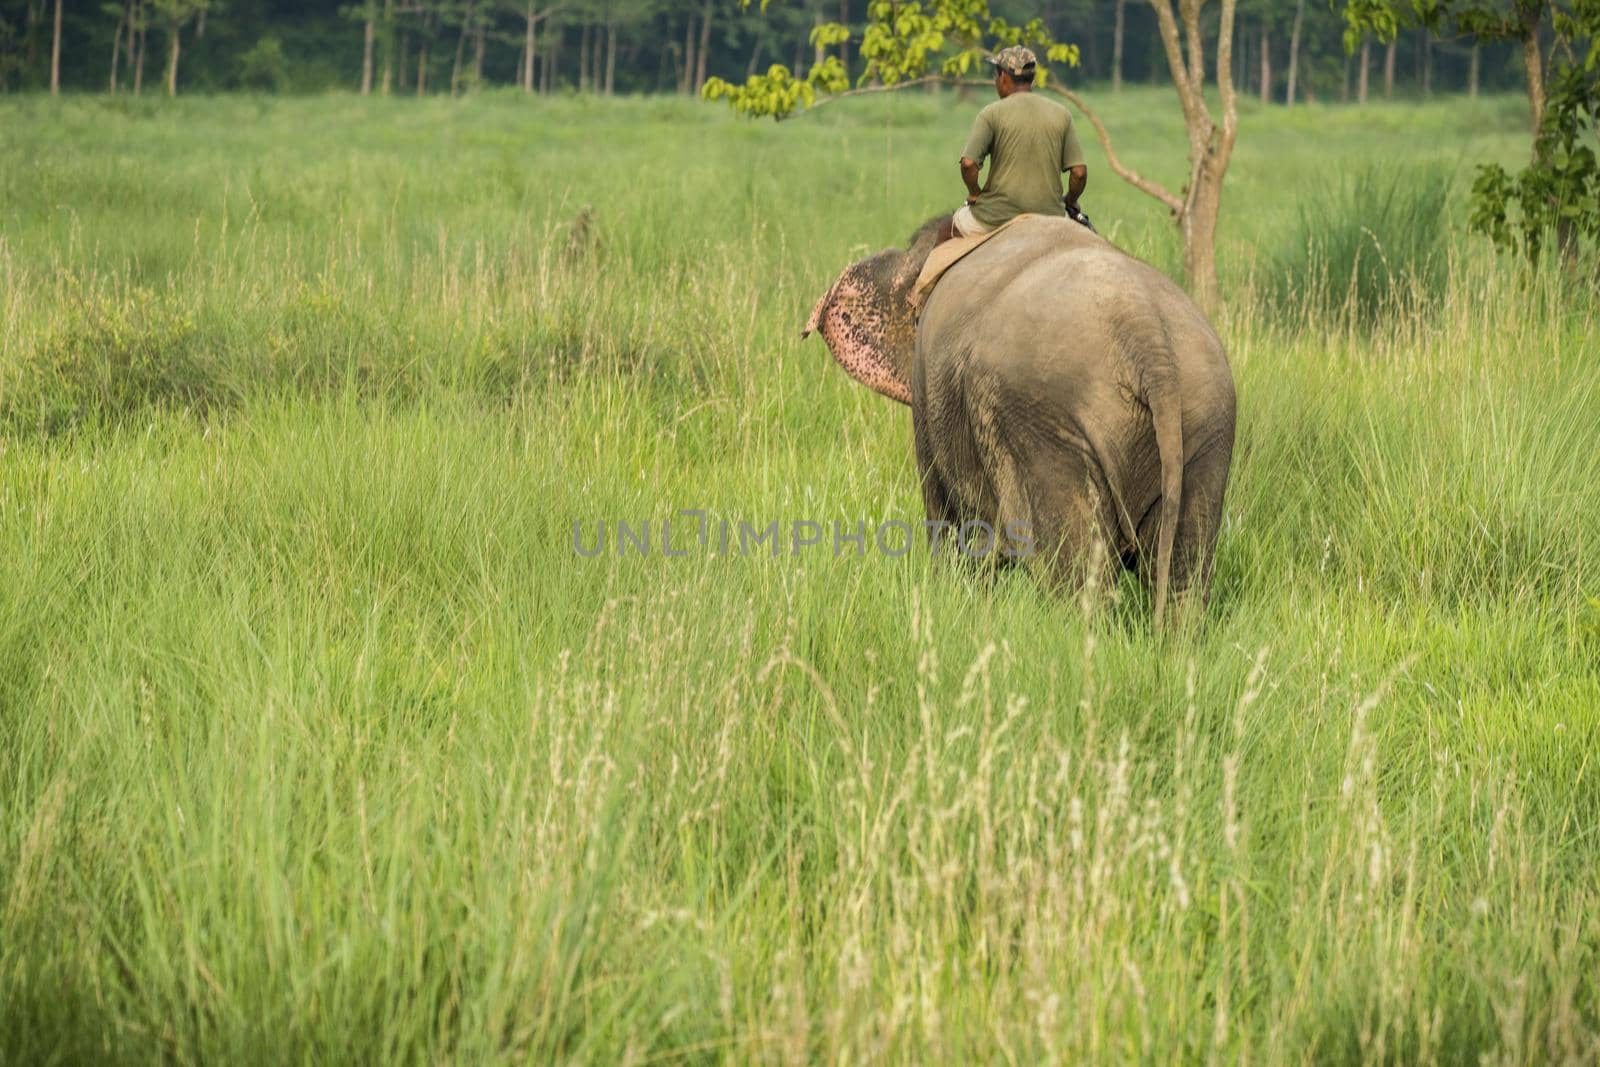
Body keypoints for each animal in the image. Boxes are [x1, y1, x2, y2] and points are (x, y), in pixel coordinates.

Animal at [800, 214, 1235, 627]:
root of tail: (1145, 335)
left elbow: (951, 523)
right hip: (1205, 422)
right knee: (1184, 574)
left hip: (1043, 424)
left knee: (1077, 577)